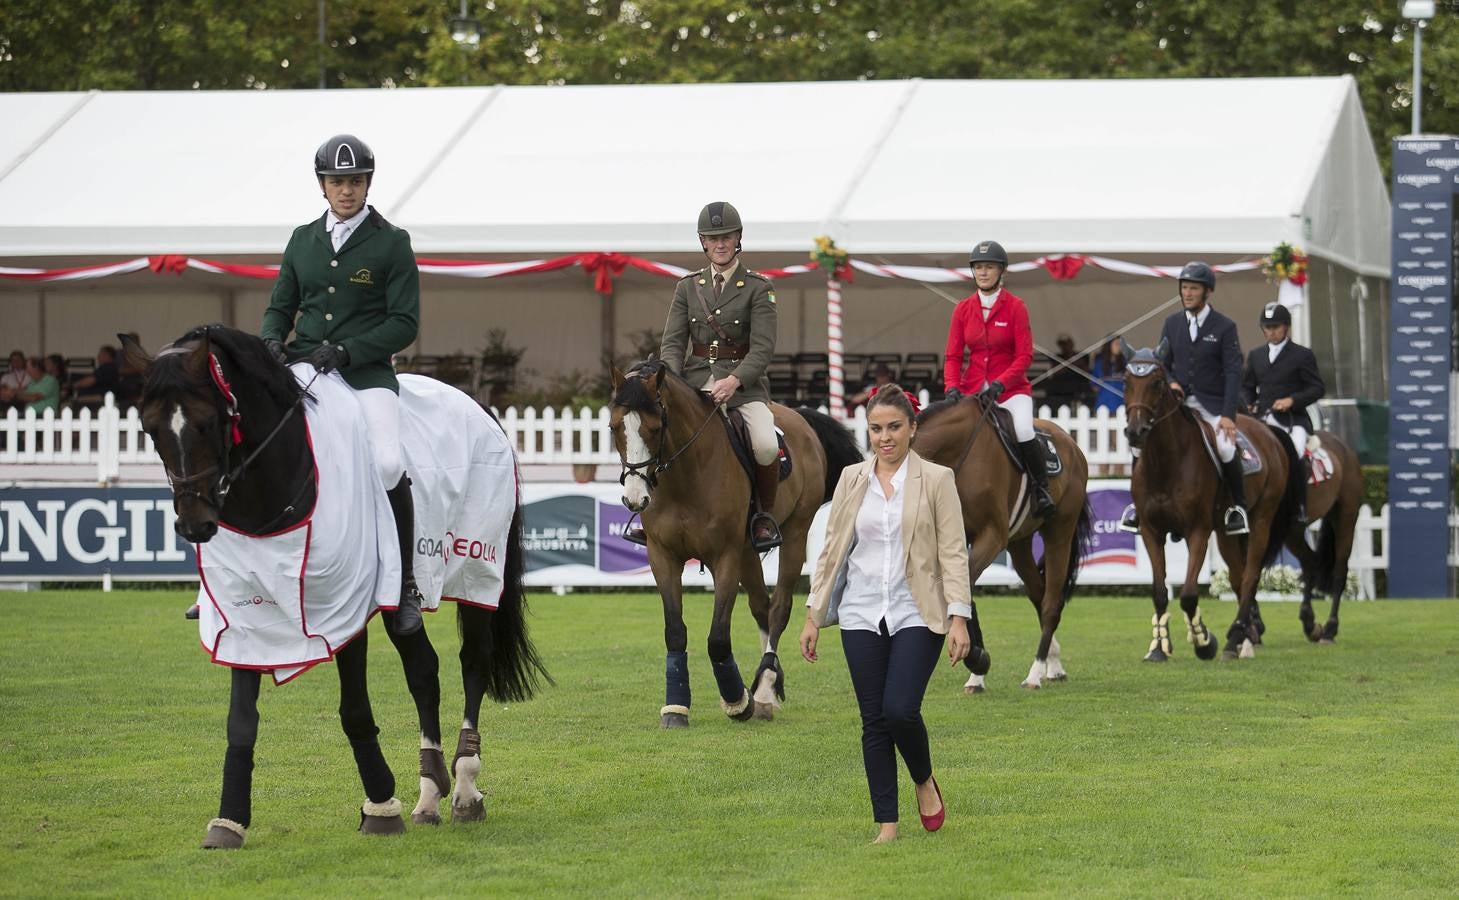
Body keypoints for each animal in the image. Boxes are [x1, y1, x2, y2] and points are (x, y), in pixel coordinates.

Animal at [121, 326, 548, 846]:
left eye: (205, 422)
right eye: (149, 429)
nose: (194, 525)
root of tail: (478, 406)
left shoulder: (347, 608)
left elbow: (355, 710)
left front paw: (381, 807)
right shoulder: (243, 618)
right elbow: (240, 722)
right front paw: (228, 821)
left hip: (478, 571)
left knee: (474, 662)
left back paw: (465, 787)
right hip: (401, 607)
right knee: (422, 670)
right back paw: (429, 794)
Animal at [606, 355, 857, 723]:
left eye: (655, 427)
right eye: (614, 428)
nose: (635, 499)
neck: (686, 477)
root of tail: (798, 418)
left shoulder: (724, 557)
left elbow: (718, 637)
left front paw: (738, 701)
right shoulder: (662, 556)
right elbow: (675, 631)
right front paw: (676, 707)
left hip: (794, 534)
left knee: (778, 608)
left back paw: (763, 691)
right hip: (748, 551)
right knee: (761, 607)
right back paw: (766, 688)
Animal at [1114, 336, 1301, 659]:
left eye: (1157, 382)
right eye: (1126, 381)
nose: (1136, 432)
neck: (1165, 461)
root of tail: (1266, 429)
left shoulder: (1198, 531)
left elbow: (1189, 594)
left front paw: (1203, 641)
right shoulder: (1151, 531)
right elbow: (1160, 592)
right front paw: (1159, 647)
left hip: (1261, 520)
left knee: (1250, 576)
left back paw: (1235, 637)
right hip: (1226, 533)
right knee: (1238, 576)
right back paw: (1244, 635)